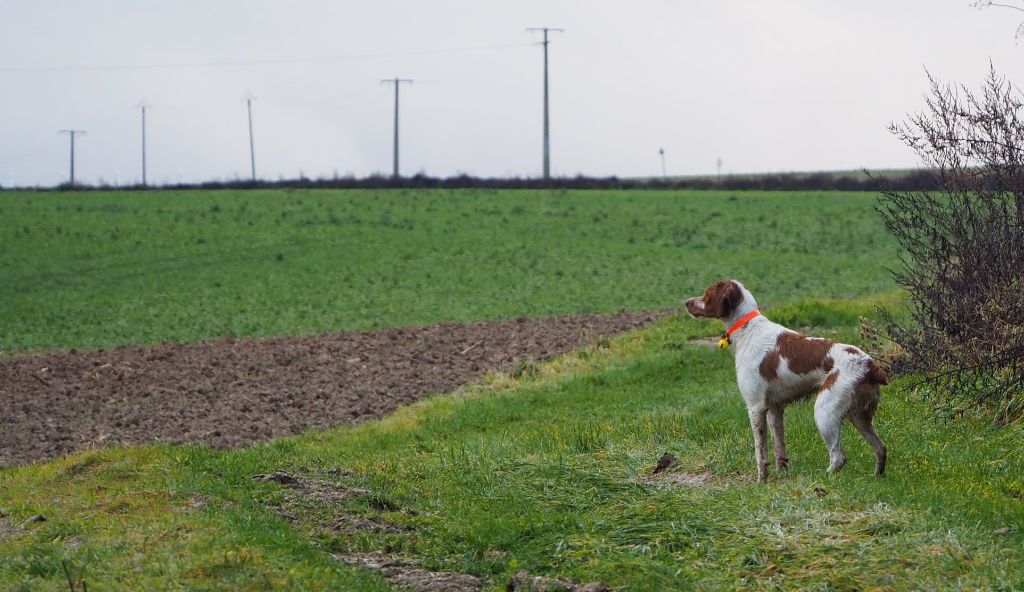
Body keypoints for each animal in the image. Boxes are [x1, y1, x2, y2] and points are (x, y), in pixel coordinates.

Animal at [688, 280, 888, 479]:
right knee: (881, 448)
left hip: (825, 410)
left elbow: (760, 451)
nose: (686, 302)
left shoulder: (755, 407)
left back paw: (822, 477)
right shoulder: (775, 408)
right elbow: (779, 447)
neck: (748, 330)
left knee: (838, 457)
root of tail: (869, 365)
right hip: (859, 416)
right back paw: (876, 476)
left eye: (707, 293)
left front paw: (762, 479)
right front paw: (781, 474)